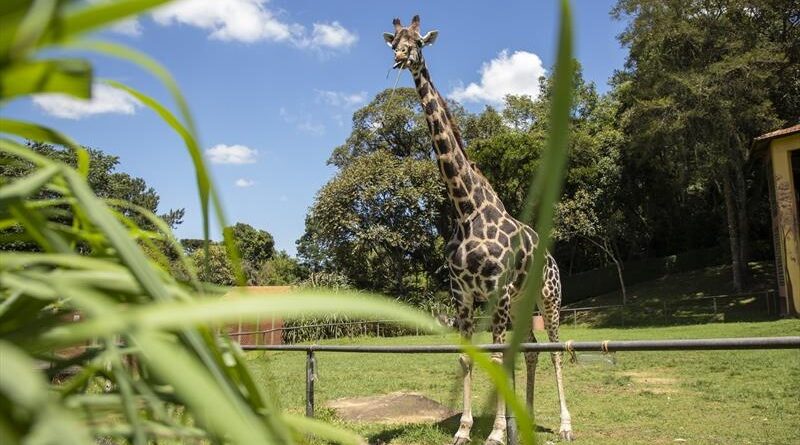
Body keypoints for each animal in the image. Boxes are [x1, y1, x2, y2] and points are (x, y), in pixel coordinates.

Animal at [382, 15, 576, 442]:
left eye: (419, 41)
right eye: (394, 41)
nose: (401, 58)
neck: (465, 209)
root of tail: (553, 260)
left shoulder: (496, 290)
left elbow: (500, 359)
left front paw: (496, 433)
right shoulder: (463, 294)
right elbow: (467, 359)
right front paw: (466, 428)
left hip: (549, 298)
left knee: (553, 350)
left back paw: (565, 425)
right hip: (522, 302)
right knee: (532, 349)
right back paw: (526, 415)